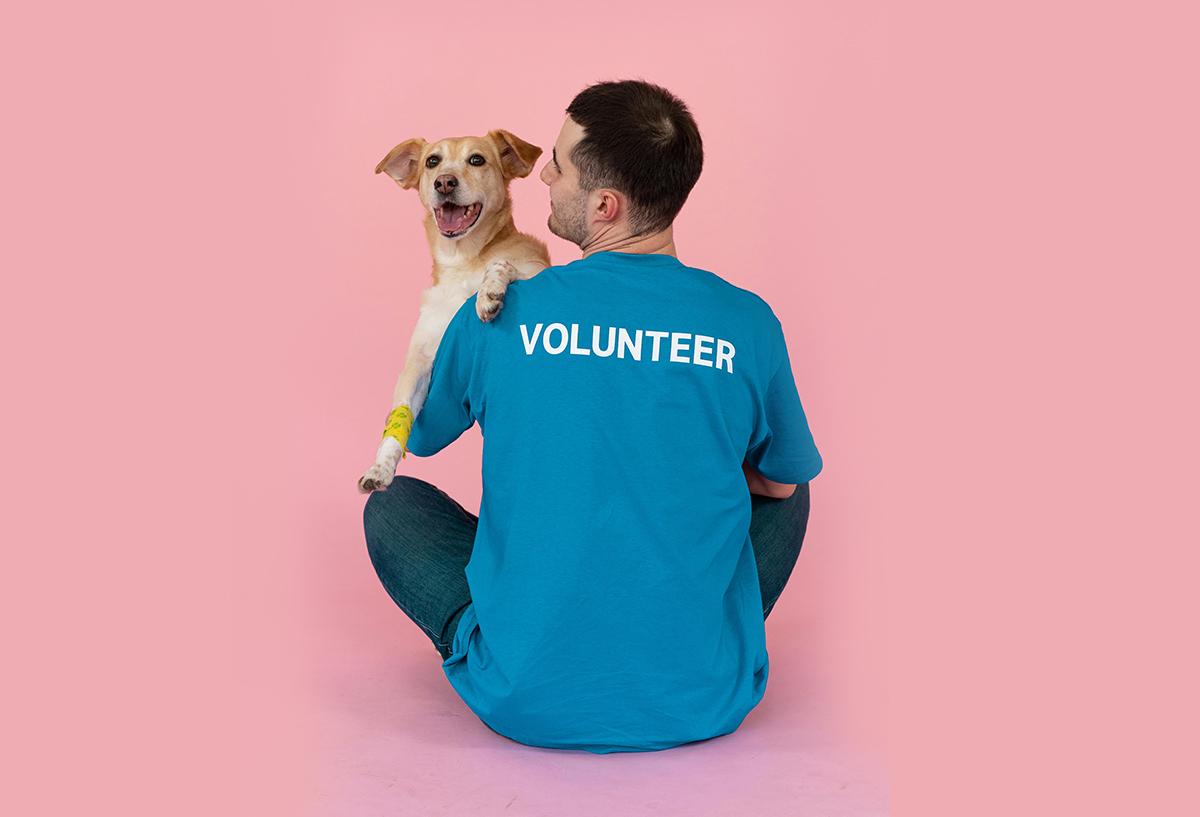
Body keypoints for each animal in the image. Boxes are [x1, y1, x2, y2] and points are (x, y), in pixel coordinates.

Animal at [358, 130, 551, 493]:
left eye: (477, 159)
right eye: (432, 161)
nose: (444, 182)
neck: (462, 260)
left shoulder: (537, 267)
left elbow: (504, 264)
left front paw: (488, 291)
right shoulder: (419, 362)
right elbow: (400, 412)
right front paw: (380, 467)